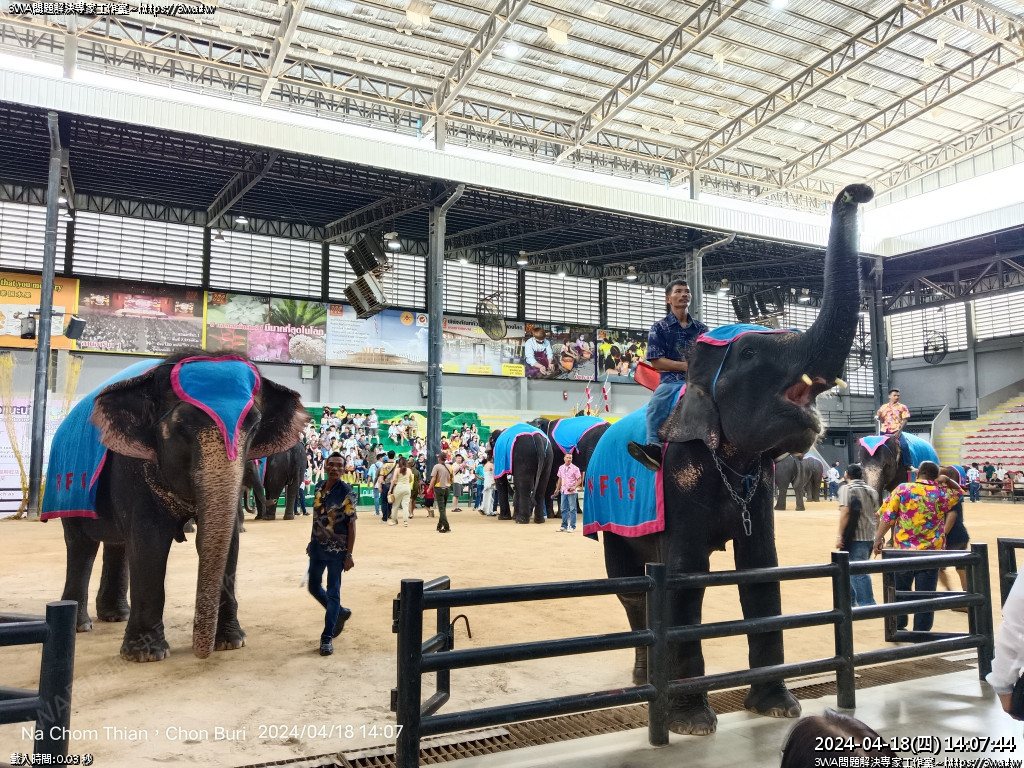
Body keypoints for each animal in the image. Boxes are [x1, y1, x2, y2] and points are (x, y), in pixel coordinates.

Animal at [45, 349, 306, 662]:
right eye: (181, 427)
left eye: (254, 426)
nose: (200, 652)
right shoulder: (132, 464)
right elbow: (149, 541)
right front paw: (145, 655)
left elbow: (228, 540)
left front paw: (231, 642)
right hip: (66, 490)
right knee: (82, 545)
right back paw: (81, 625)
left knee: (118, 545)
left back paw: (116, 615)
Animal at [596, 184, 872, 735]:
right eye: (748, 355)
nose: (860, 190)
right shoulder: (679, 474)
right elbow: (684, 577)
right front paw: (693, 725)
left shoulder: (757, 483)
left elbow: (762, 571)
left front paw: (779, 709)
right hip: (611, 521)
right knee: (631, 588)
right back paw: (643, 681)